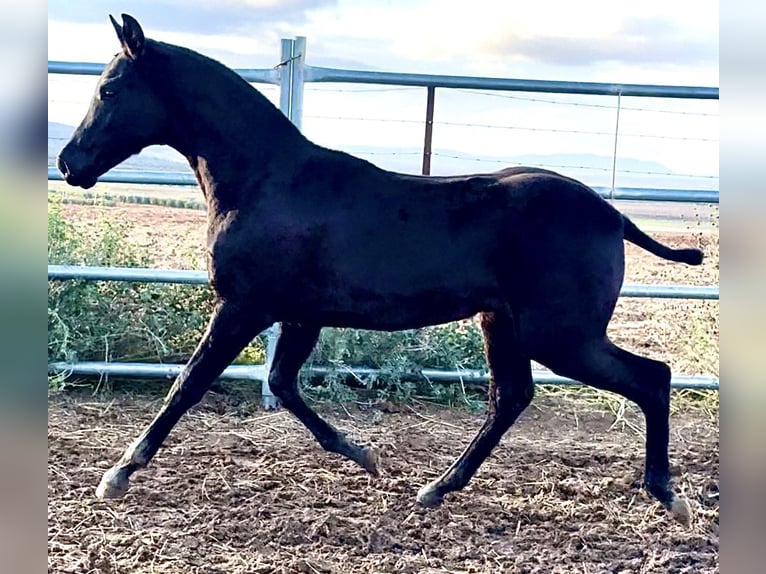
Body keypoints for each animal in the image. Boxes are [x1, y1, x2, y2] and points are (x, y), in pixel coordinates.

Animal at [57, 14, 703, 523]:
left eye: (110, 89)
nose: (69, 163)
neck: (266, 181)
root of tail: (613, 214)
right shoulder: (300, 315)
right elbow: (282, 384)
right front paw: (366, 455)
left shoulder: (247, 307)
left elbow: (189, 383)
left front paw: (118, 473)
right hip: (505, 324)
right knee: (512, 397)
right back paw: (436, 489)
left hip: (562, 335)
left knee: (651, 377)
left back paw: (668, 495)